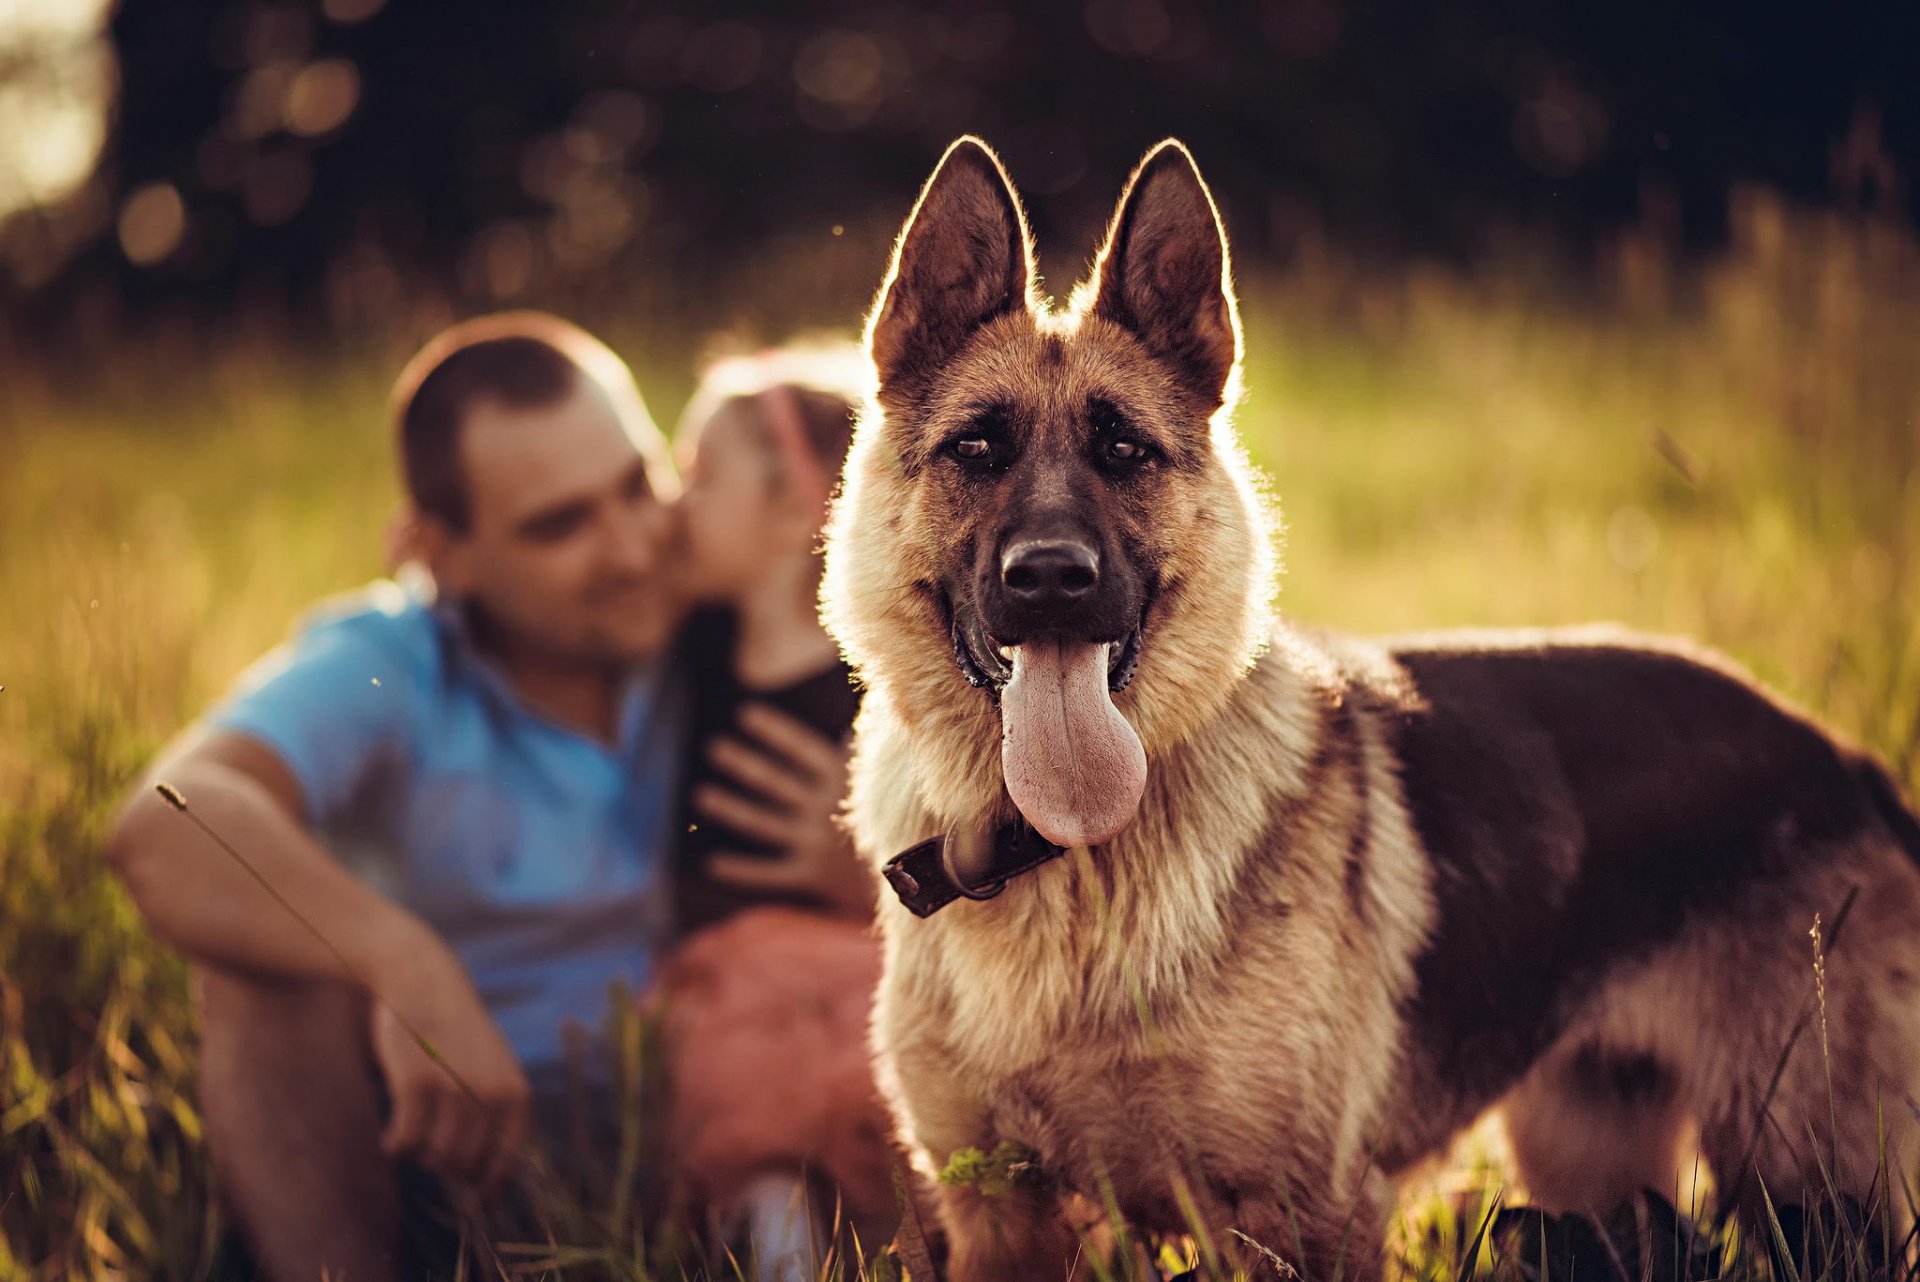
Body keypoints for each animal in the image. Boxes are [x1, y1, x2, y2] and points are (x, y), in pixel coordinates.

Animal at [817, 135, 1920, 1274]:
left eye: (1124, 451)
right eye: (976, 450)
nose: (1050, 578)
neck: (1057, 859)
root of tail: (1843, 757)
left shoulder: (1301, 1216)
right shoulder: (1000, 1217)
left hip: (1811, 1188)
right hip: (1592, 1167)